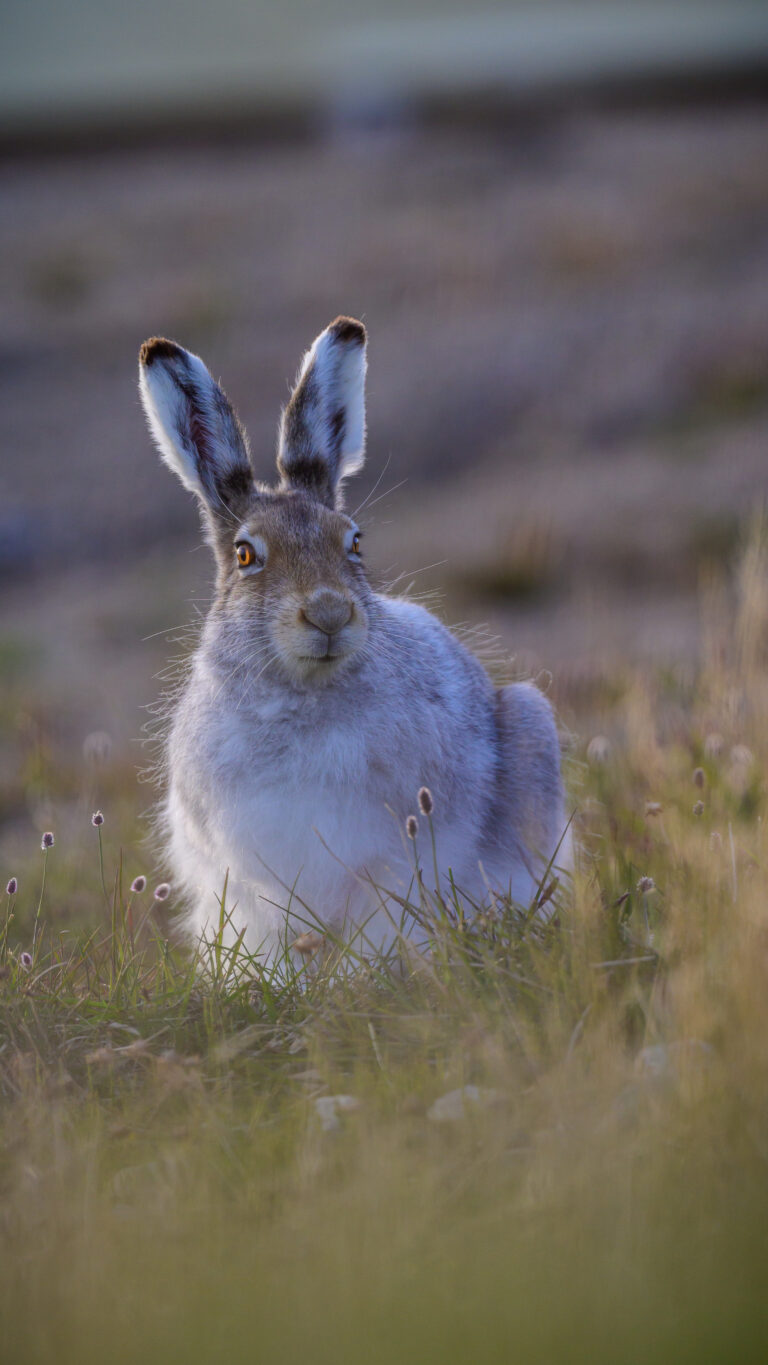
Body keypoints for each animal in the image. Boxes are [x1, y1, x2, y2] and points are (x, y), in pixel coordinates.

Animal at [138, 317, 569, 962]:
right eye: (245, 555)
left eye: (355, 542)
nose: (329, 613)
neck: (302, 695)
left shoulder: (391, 860)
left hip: (531, 724)